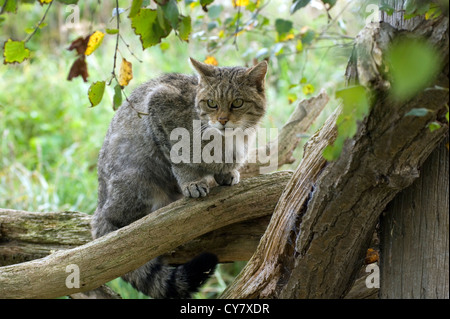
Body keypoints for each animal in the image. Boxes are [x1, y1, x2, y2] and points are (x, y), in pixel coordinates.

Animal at [91, 58, 268, 300]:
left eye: (238, 103)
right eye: (211, 103)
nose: (222, 120)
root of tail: (99, 206)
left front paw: (227, 173)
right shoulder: (158, 104)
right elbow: (179, 159)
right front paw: (191, 182)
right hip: (138, 181)